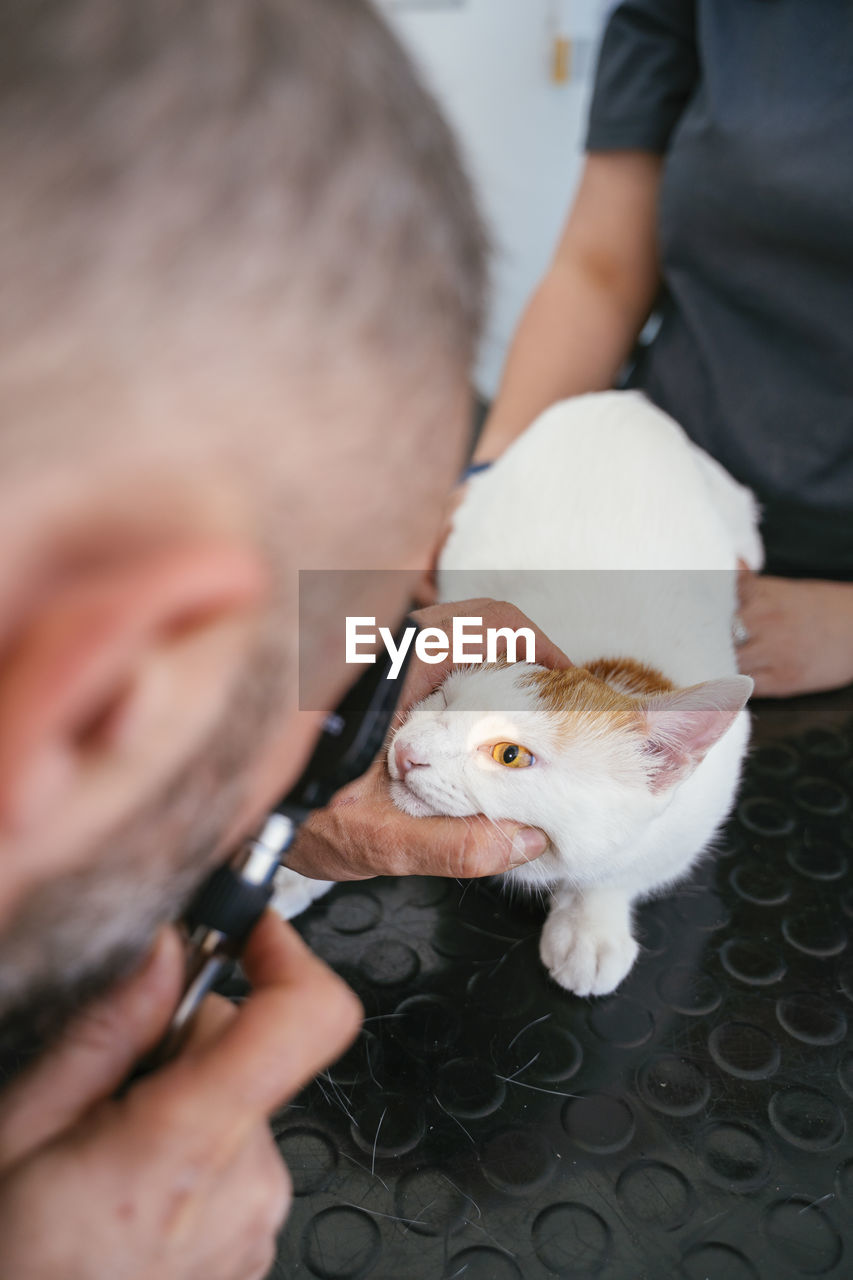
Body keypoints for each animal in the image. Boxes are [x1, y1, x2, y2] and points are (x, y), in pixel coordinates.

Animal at [384, 389, 758, 998]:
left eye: (510, 755)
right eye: (443, 698)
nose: (406, 752)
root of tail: (623, 398)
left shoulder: (693, 820)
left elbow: (620, 869)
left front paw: (590, 922)